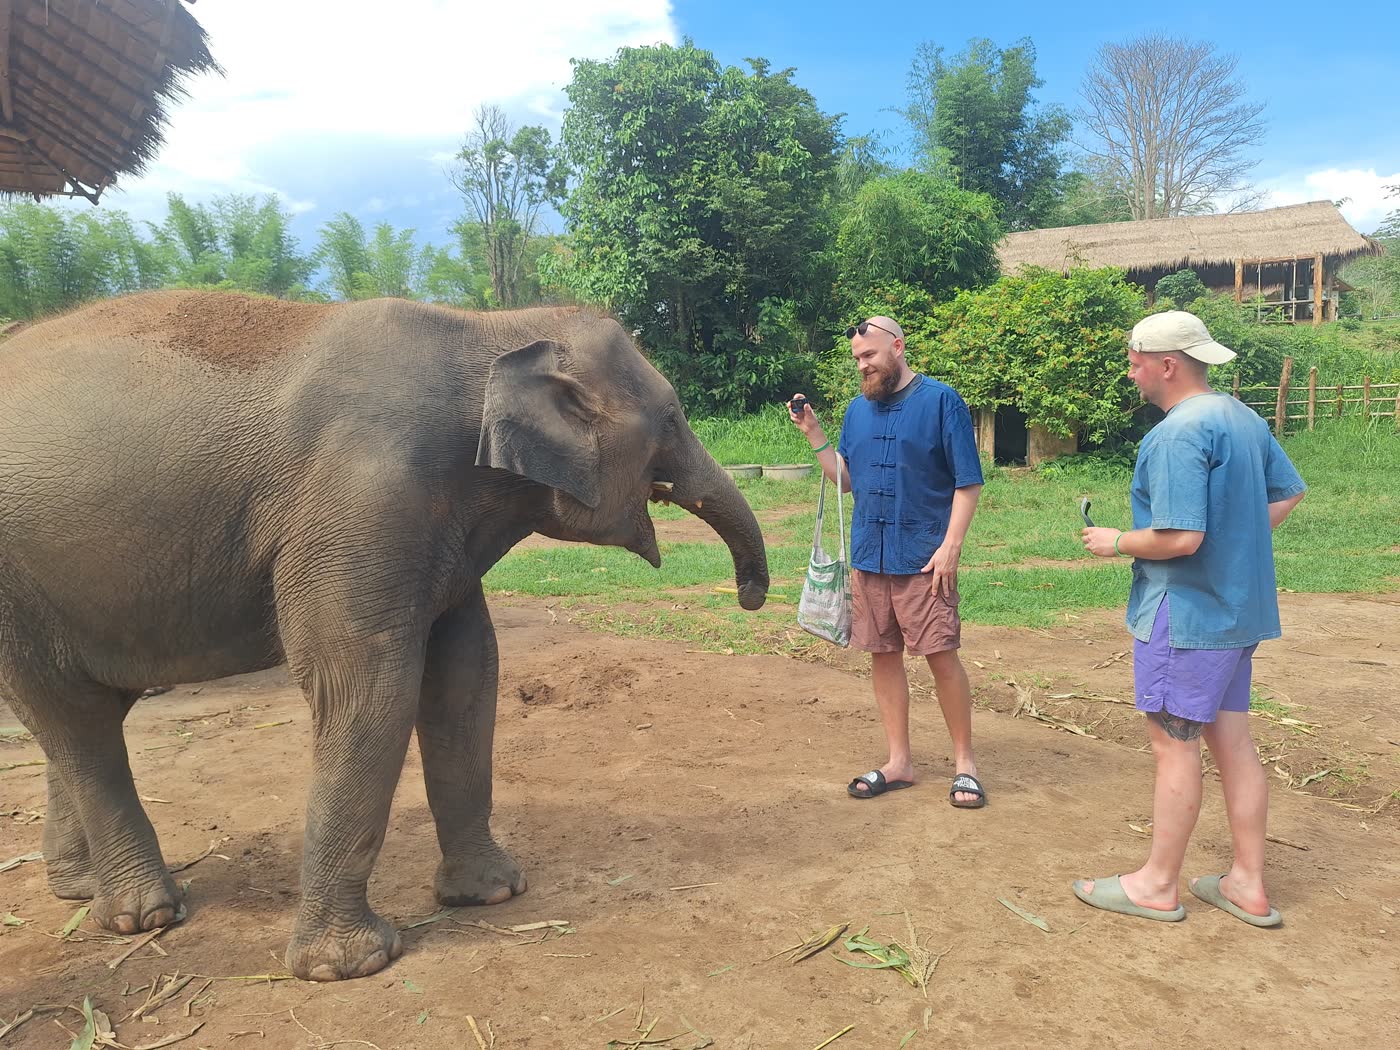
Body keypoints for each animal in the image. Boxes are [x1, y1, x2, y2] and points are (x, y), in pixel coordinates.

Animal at [0, 290, 768, 981]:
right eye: (671, 418)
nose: (752, 596)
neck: (490, 328)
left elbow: (466, 676)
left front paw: (492, 894)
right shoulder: (364, 504)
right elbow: (365, 689)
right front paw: (348, 966)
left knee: (88, 712)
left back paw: (80, 891)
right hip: (16, 591)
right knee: (74, 719)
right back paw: (145, 915)